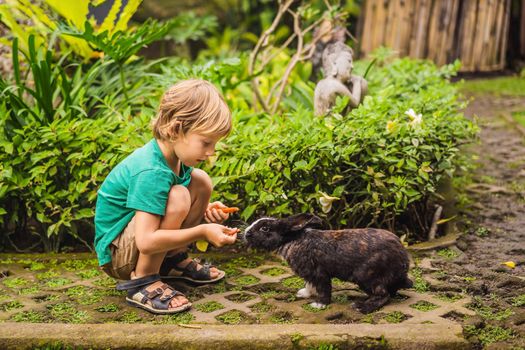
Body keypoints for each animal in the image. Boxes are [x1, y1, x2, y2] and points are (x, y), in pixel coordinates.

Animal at [244, 213, 412, 314]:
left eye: (265, 228)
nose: (246, 233)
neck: (291, 240)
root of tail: (403, 260)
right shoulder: (310, 275)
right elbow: (309, 285)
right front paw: (305, 294)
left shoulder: (319, 273)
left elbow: (324, 289)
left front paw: (319, 304)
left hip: (366, 276)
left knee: (384, 295)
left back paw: (360, 307)